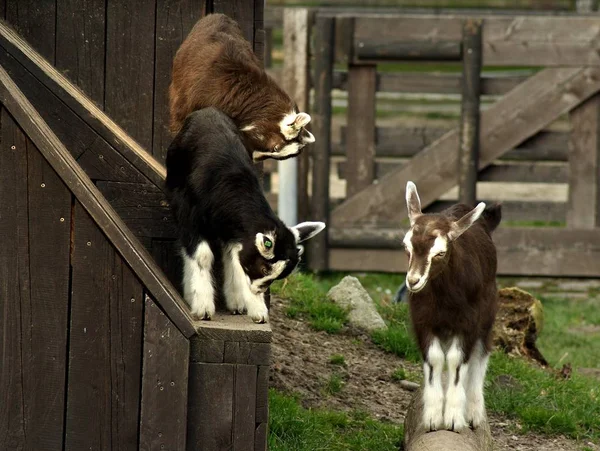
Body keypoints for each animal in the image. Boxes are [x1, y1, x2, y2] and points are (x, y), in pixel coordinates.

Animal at [166, 107, 326, 324]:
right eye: (265, 268)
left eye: (278, 276)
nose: (257, 290)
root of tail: (208, 110)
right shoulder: (189, 214)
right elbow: (202, 256)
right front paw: (203, 307)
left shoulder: (235, 231)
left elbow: (234, 259)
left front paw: (251, 308)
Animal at [404, 180, 502, 434]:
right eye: (406, 247)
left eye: (440, 252)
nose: (413, 281)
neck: (444, 300)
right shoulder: (423, 321)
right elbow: (435, 359)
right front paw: (431, 418)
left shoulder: (468, 323)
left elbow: (458, 361)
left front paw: (454, 419)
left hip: (488, 315)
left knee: (481, 353)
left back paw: (474, 412)